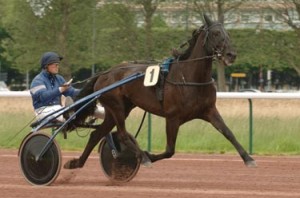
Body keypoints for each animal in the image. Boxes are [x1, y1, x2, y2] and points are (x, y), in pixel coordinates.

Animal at [64, 15, 256, 170]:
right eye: (216, 33)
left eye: (228, 34)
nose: (231, 54)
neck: (191, 78)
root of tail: (104, 73)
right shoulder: (172, 117)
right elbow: (170, 150)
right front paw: (148, 155)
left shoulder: (209, 110)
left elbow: (229, 133)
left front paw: (248, 158)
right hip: (116, 106)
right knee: (123, 135)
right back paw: (142, 157)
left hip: (117, 110)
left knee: (96, 134)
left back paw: (76, 163)